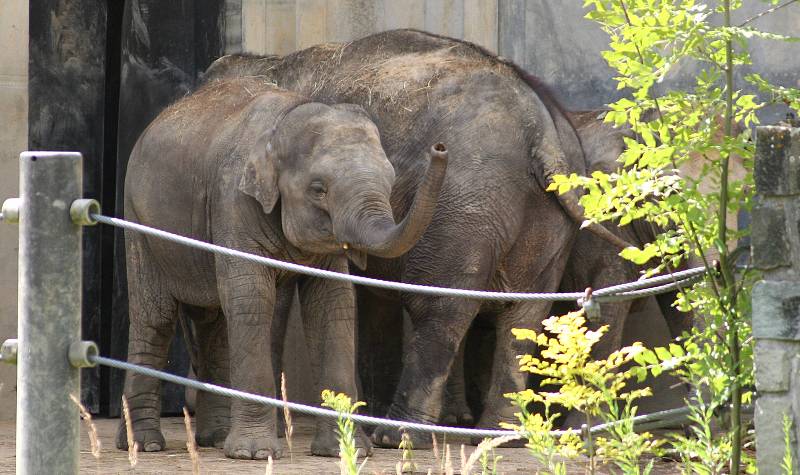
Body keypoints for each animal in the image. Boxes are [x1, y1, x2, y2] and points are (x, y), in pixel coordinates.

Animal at [117, 77, 450, 462]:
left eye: (391, 180)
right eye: (319, 189)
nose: (440, 148)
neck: (285, 119)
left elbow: (332, 304)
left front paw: (345, 451)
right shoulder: (233, 200)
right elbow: (252, 299)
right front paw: (255, 453)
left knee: (215, 321)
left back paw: (215, 438)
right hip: (138, 220)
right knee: (155, 318)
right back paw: (145, 444)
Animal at [202, 27, 632, 448]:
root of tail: (543, 135)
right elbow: (372, 296)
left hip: (464, 204)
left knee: (439, 310)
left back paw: (399, 436)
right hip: (542, 213)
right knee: (522, 315)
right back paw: (498, 437)